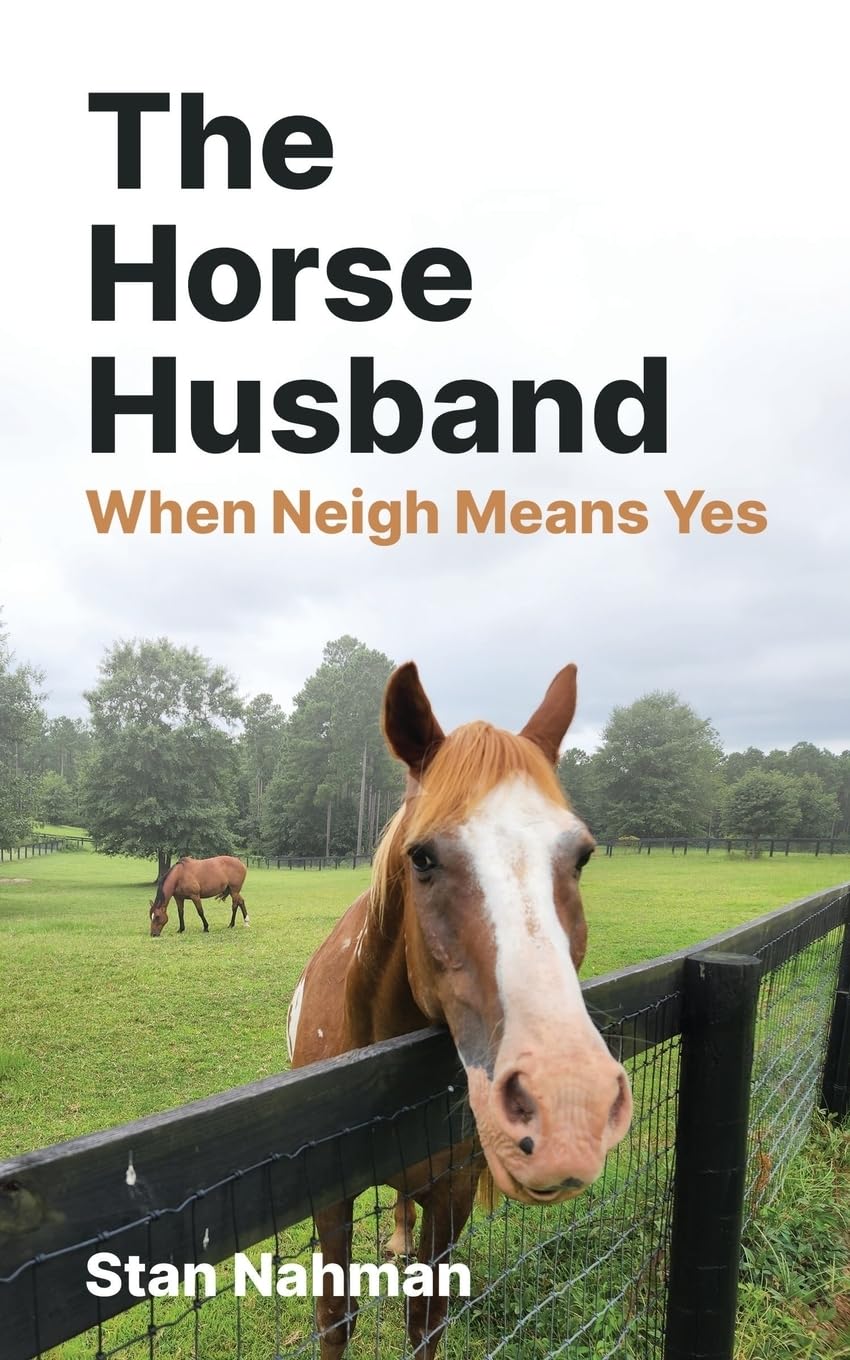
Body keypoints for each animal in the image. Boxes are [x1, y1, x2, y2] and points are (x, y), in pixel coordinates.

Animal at [288, 662, 632, 1359]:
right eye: (422, 857)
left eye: (581, 856)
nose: (568, 1104)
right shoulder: (329, 1200)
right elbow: (335, 1316)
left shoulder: (452, 1192)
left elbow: (427, 1320)